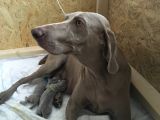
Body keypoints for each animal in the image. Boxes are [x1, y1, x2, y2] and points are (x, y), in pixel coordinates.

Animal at [0, 11, 131, 119]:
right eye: (65, 18)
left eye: (79, 22)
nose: (35, 32)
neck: (100, 77)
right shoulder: (72, 106)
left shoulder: (122, 114)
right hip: (53, 63)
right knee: (22, 79)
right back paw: (4, 94)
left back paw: (57, 97)